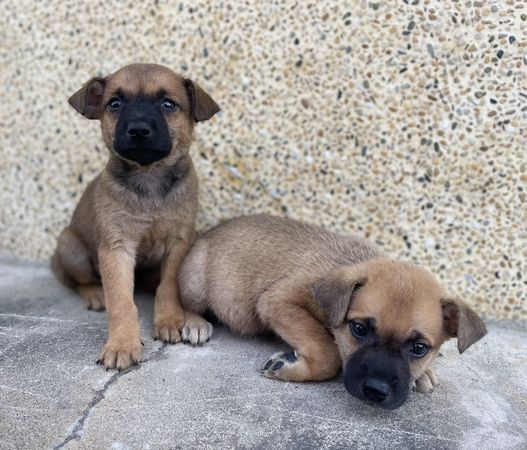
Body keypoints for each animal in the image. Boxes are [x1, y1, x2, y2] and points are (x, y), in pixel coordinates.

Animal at [52, 62, 221, 370]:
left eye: (168, 104)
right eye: (115, 103)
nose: (138, 130)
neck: (148, 175)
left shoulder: (178, 243)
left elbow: (168, 287)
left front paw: (170, 320)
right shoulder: (116, 248)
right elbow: (121, 301)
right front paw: (122, 344)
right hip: (71, 247)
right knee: (79, 282)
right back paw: (95, 293)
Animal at [179, 214, 488, 408]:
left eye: (419, 348)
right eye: (359, 329)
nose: (375, 392)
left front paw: (424, 373)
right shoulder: (279, 301)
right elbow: (328, 353)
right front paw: (288, 366)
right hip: (196, 280)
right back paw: (194, 324)